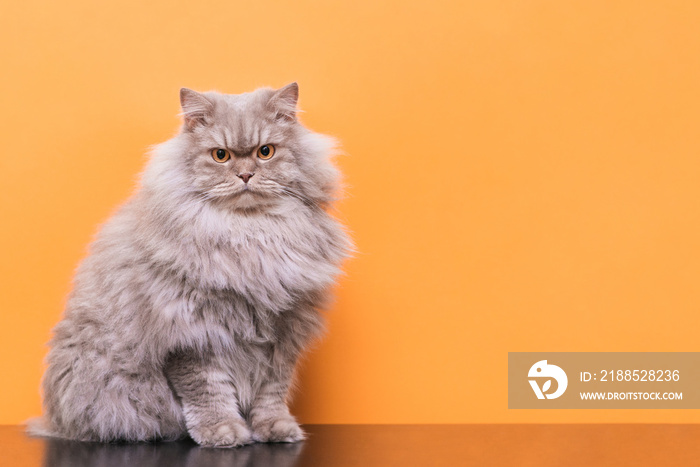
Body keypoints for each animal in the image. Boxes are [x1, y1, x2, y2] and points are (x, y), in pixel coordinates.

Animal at [28, 82, 350, 448]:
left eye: (265, 152)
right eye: (220, 155)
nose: (246, 175)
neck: (249, 234)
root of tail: (56, 423)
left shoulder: (282, 335)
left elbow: (271, 394)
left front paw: (276, 429)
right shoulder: (192, 335)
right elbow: (208, 391)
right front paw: (222, 432)